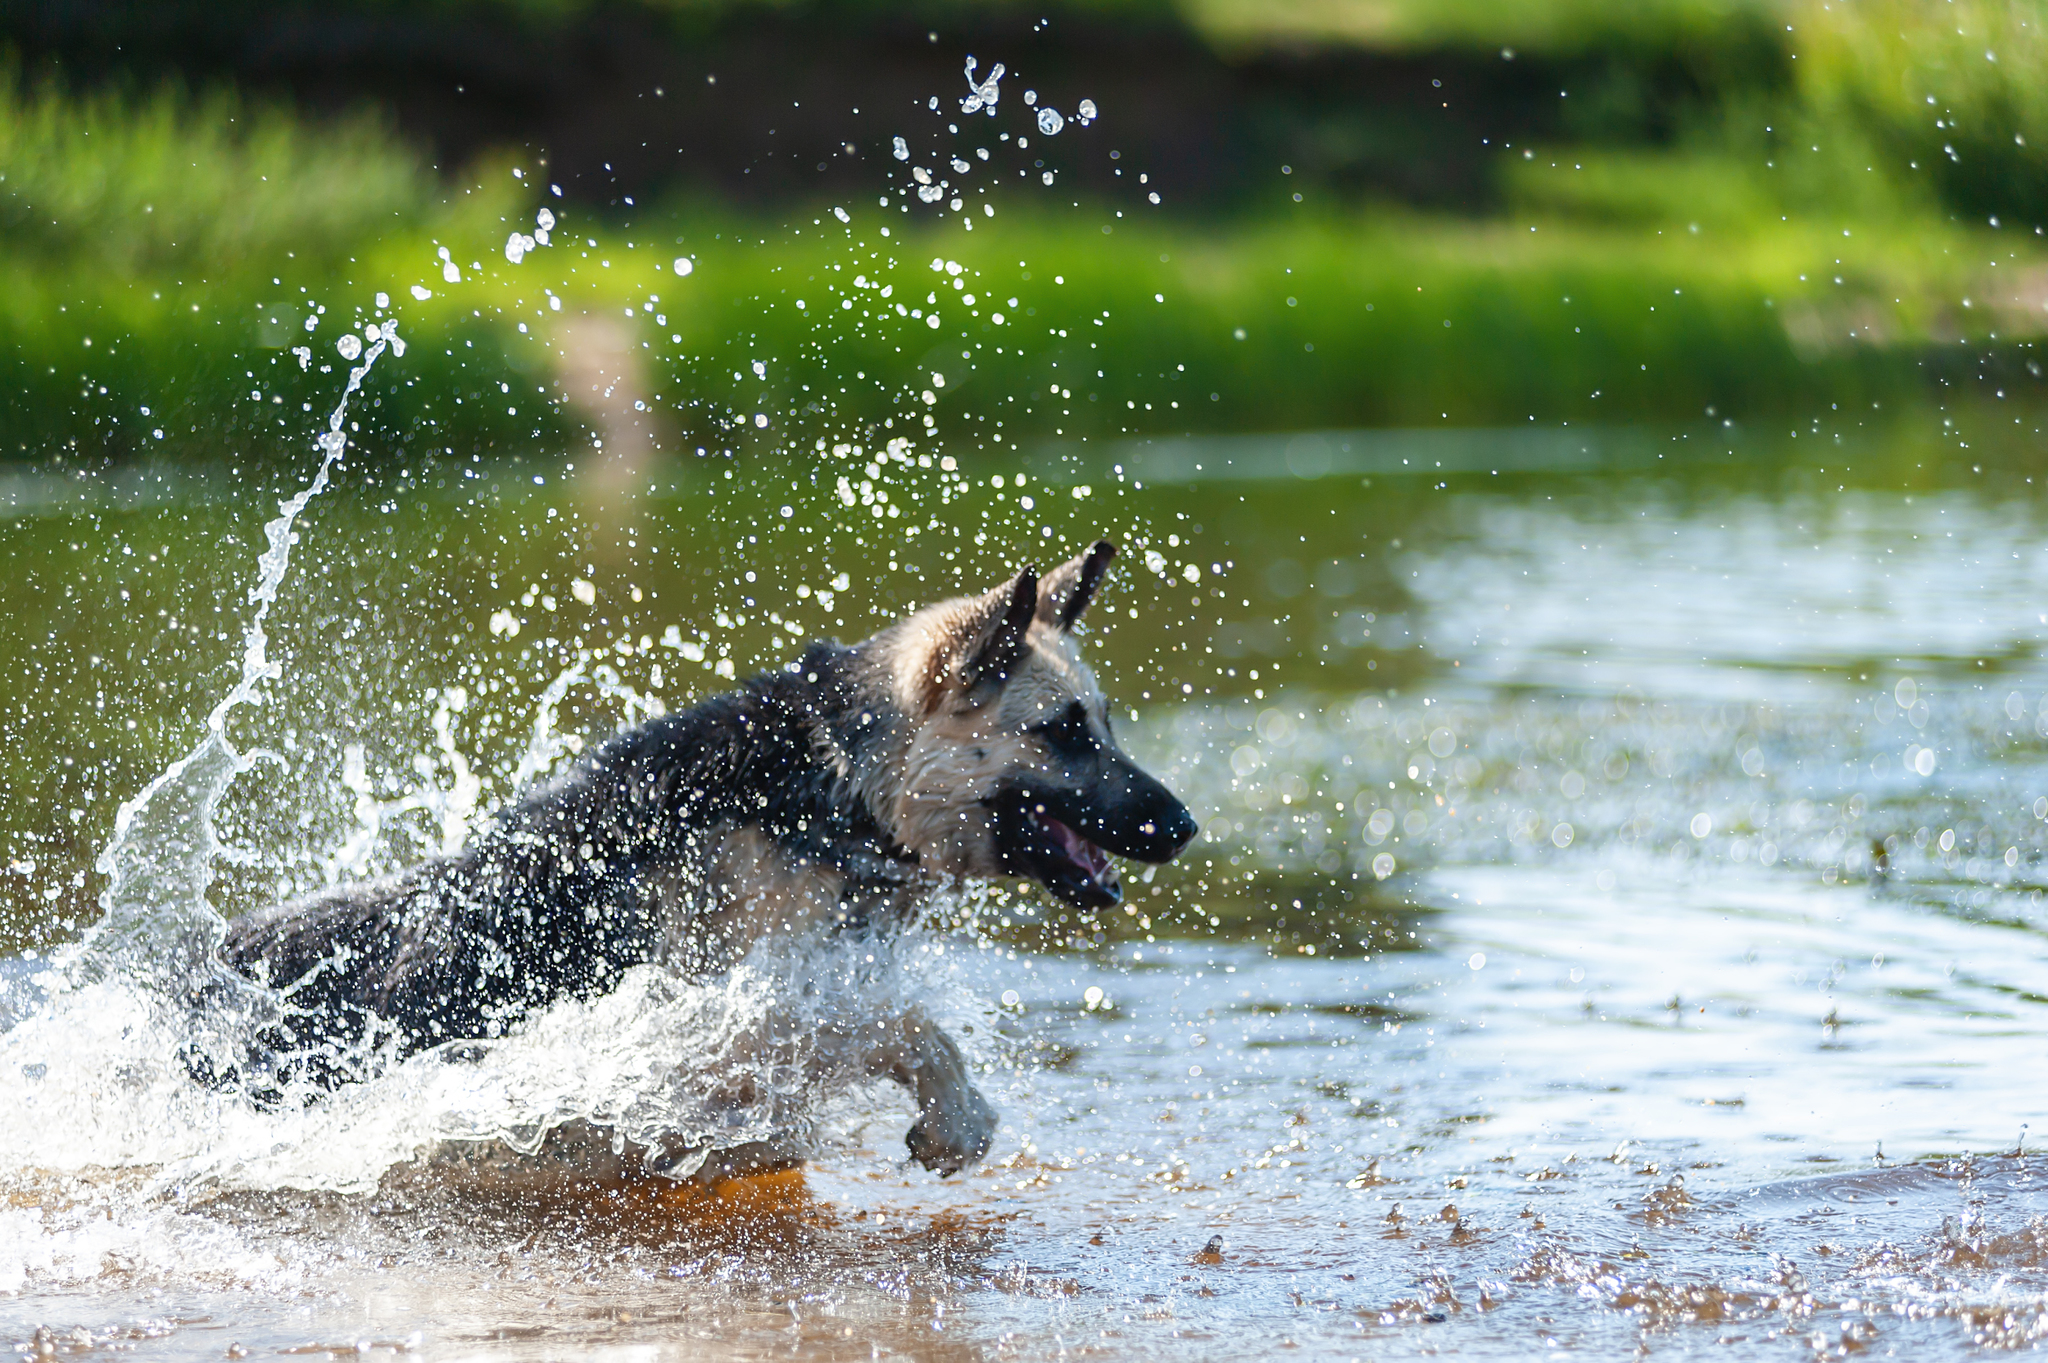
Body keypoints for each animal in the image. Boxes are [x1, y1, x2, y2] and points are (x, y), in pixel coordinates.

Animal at [216, 540, 1196, 1178]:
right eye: (1063, 731)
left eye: (1106, 722)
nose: (1185, 825)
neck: (843, 781)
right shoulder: (715, 1029)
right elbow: (901, 1023)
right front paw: (956, 1118)